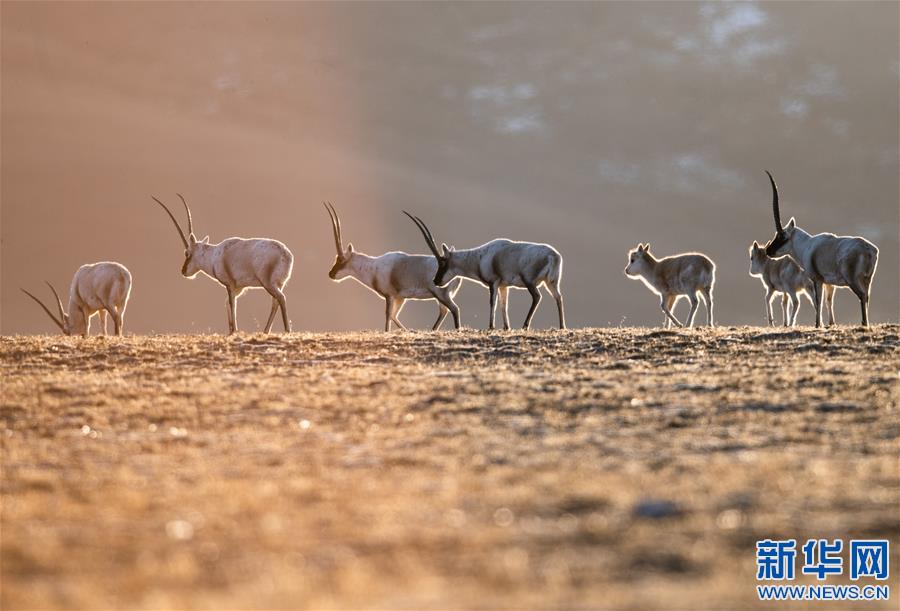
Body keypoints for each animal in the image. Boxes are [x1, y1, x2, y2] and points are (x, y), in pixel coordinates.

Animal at [153, 195, 294, 334]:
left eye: (187, 253)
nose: (183, 271)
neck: (214, 255)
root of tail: (286, 254)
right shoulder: (238, 288)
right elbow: (228, 303)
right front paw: (230, 331)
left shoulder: (229, 284)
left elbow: (232, 304)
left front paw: (235, 330)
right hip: (279, 284)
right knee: (275, 302)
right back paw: (266, 331)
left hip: (268, 283)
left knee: (281, 298)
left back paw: (287, 330)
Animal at [326, 203, 464, 332]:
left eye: (341, 259)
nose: (331, 274)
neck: (373, 267)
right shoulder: (399, 297)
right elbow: (393, 316)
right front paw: (407, 331)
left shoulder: (389, 296)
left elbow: (388, 315)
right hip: (441, 296)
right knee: (444, 311)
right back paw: (433, 330)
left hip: (441, 294)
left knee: (454, 309)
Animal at [406, 214, 568, 332]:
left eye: (443, 263)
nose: (436, 281)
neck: (480, 257)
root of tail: (553, 255)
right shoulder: (503, 286)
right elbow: (503, 304)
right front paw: (506, 327)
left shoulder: (493, 282)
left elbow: (492, 302)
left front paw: (491, 326)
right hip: (551, 283)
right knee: (558, 297)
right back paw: (562, 326)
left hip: (530, 282)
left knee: (537, 297)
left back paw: (525, 326)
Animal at [760, 170, 880, 328]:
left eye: (782, 236)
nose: (768, 251)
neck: (806, 245)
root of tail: (868, 249)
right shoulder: (828, 283)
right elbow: (827, 301)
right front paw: (828, 324)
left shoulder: (817, 279)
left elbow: (818, 302)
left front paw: (817, 325)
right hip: (867, 280)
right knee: (867, 297)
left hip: (853, 280)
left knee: (862, 295)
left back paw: (864, 324)